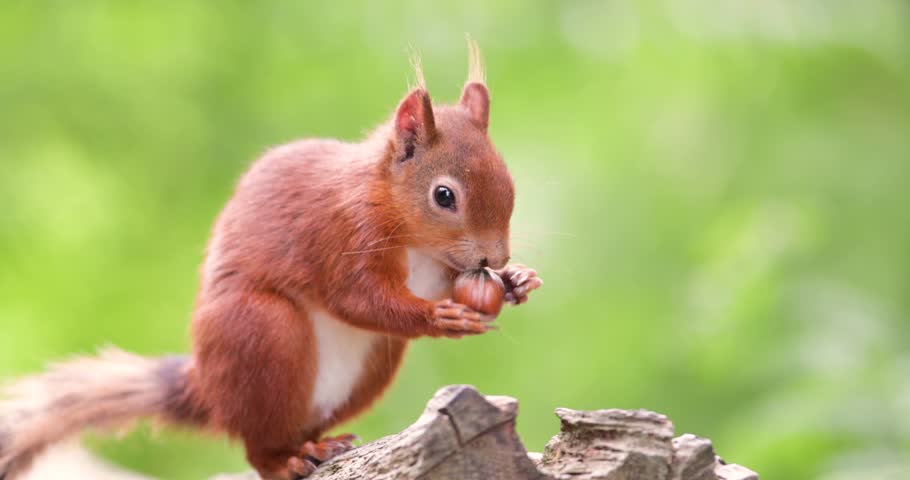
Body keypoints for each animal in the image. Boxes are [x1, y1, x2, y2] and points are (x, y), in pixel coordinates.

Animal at [0, 43, 542, 480]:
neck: (406, 227)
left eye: (510, 181)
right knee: (258, 446)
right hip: (262, 332)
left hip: (373, 364)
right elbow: (359, 298)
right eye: (444, 195)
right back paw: (285, 460)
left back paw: (323, 444)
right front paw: (439, 316)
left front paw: (517, 280)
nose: (496, 255)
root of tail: (210, 391)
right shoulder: (339, 235)